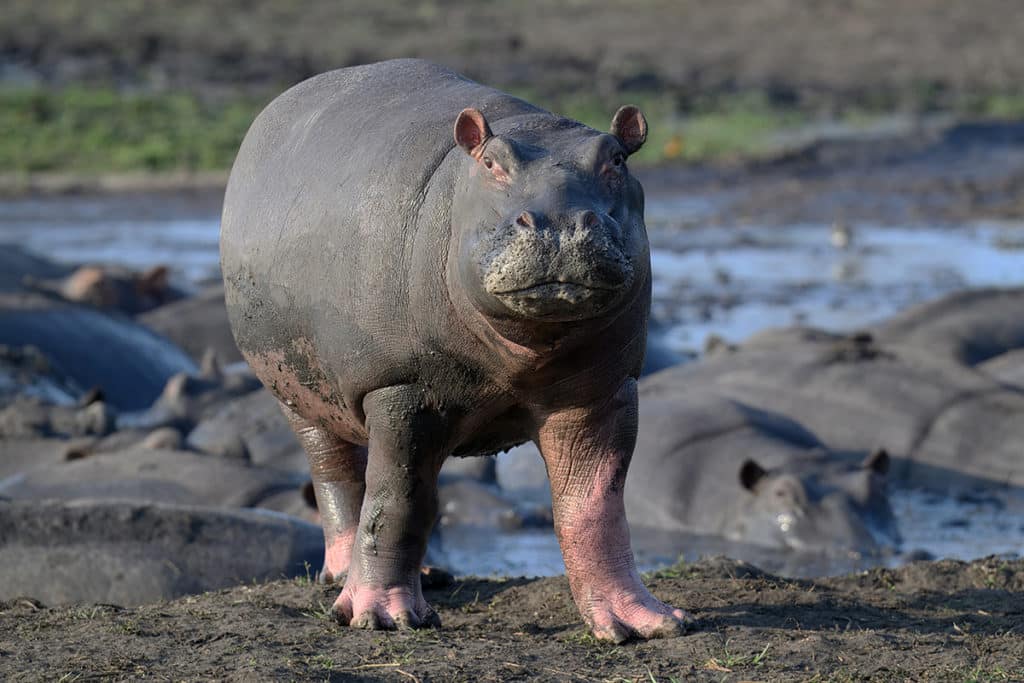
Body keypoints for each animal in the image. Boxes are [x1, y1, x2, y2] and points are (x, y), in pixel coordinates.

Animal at [220, 58, 684, 643]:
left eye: (617, 158)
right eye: (490, 162)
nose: (559, 223)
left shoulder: (603, 389)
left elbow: (594, 505)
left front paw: (645, 622)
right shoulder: (401, 388)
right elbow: (397, 499)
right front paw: (382, 617)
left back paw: (428, 577)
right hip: (298, 392)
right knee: (338, 474)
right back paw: (344, 580)